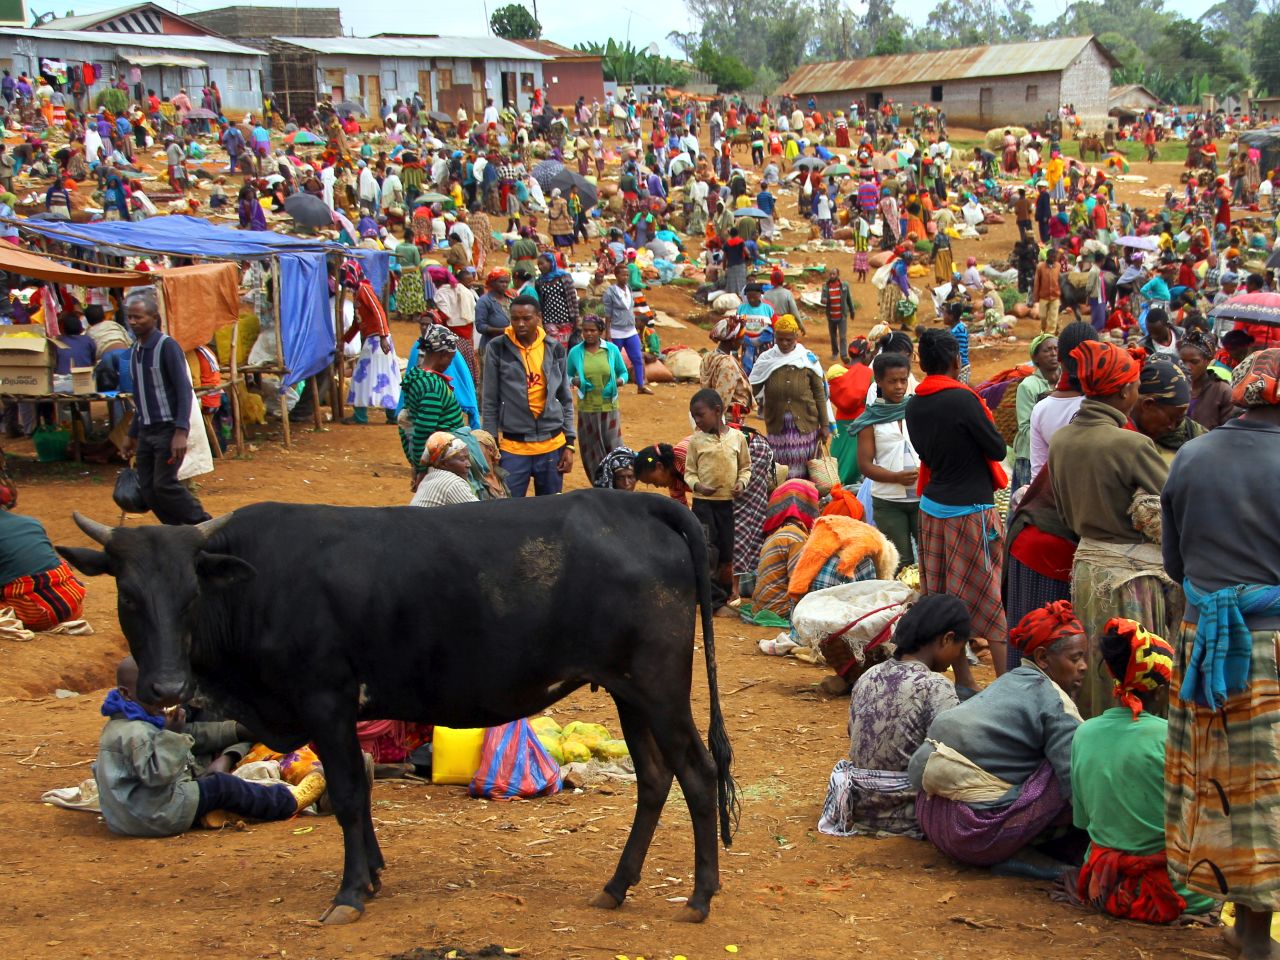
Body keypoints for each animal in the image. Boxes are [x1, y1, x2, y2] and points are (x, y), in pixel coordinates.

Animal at [57, 496, 742, 926]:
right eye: (127, 595)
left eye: (190, 593)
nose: (166, 685)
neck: (259, 585)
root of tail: (638, 503)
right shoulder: (336, 713)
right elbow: (358, 789)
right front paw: (373, 875)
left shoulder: (325, 700)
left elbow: (347, 794)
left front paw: (349, 892)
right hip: (628, 692)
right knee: (654, 780)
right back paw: (616, 887)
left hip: (659, 688)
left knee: (697, 774)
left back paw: (701, 896)